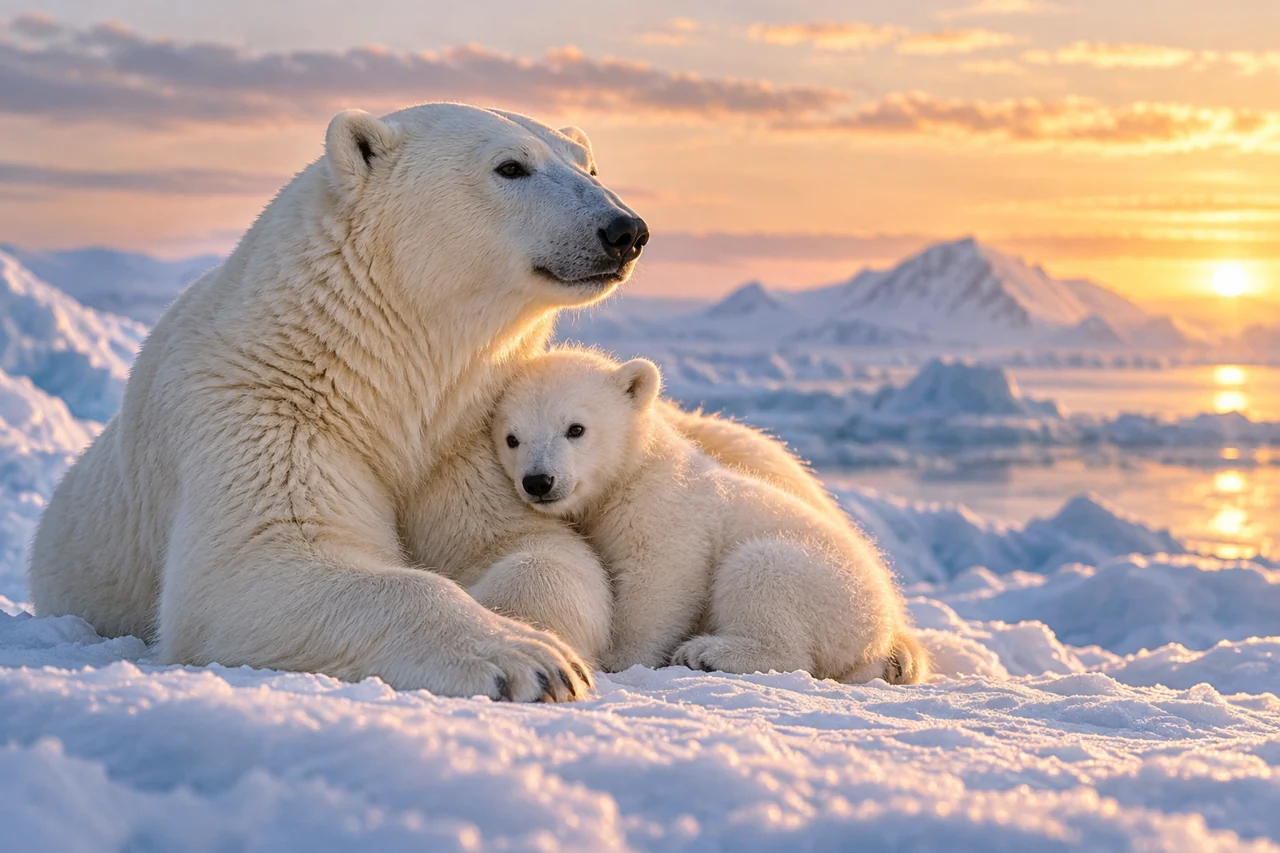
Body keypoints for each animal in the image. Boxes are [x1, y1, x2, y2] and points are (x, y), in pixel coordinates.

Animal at [26, 103, 654, 701]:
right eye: (511, 167)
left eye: (589, 166)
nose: (625, 229)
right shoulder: (261, 411)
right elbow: (257, 563)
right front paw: (526, 660)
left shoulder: (460, 436)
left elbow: (533, 548)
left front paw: (532, 631)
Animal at [491, 348, 930, 684]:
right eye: (512, 438)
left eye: (576, 428)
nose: (539, 481)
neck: (636, 471)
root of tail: (883, 630)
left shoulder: (668, 511)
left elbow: (661, 580)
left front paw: (619, 658)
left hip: (833, 592)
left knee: (763, 572)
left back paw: (707, 652)